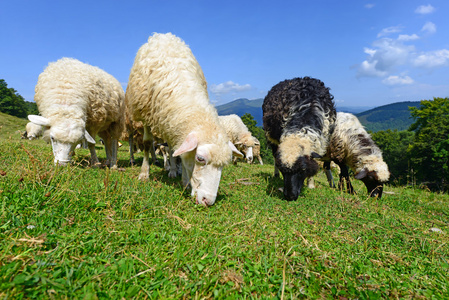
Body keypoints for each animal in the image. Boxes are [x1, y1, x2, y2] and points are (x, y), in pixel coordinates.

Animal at [124, 32, 242, 206]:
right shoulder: (146, 114)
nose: (208, 201)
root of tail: (162, 35)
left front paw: (183, 179)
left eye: (223, 165)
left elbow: (177, 152)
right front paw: (144, 173)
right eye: (200, 159)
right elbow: (147, 143)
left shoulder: (174, 123)